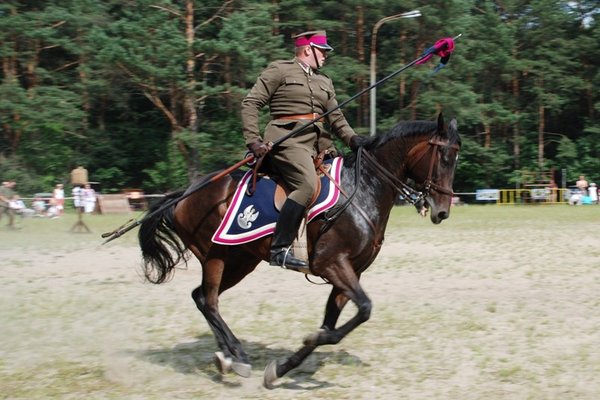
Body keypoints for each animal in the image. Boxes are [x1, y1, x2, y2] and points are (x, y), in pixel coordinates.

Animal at [138, 113, 462, 388]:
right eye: (444, 157)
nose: (442, 211)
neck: (362, 189)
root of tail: (186, 193)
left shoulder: (349, 273)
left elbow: (333, 324)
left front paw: (284, 366)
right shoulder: (332, 264)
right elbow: (364, 310)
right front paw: (309, 341)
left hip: (241, 260)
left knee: (201, 296)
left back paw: (226, 356)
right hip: (215, 256)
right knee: (210, 301)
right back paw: (238, 357)